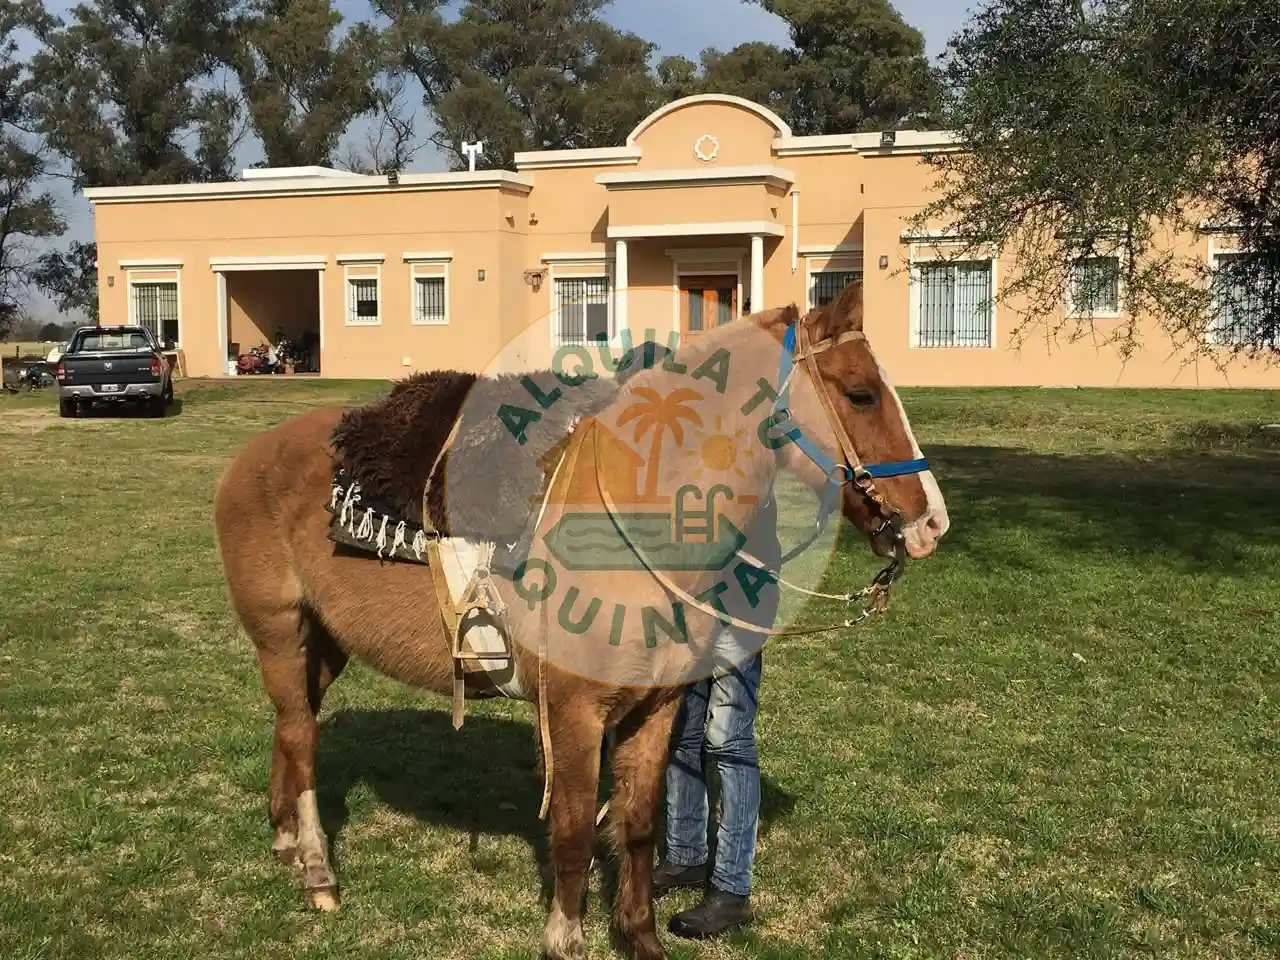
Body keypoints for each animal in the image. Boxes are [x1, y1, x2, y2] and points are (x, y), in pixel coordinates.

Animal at [212, 280, 949, 960]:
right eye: (860, 394)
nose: (930, 521)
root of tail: (252, 456)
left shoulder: (656, 710)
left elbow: (640, 826)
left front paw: (640, 937)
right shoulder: (573, 713)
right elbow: (570, 835)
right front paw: (565, 938)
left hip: (323, 641)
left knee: (291, 729)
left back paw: (284, 839)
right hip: (278, 632)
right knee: (303, 739)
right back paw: (317, 870)